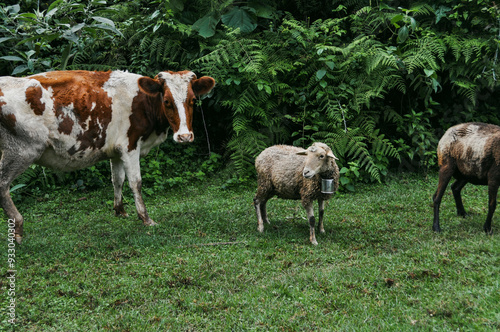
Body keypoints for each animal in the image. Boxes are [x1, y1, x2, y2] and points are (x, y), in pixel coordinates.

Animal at [0, 70, 215, 243]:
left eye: (193, 101)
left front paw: (120, 210)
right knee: (3, 184)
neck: (144, 103)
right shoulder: (129, 146)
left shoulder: (116, 150)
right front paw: (145, 218)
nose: (184, 136)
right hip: (21, 150)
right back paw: (18, 227)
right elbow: (135, 182)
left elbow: (117, 179)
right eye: (167, 101)